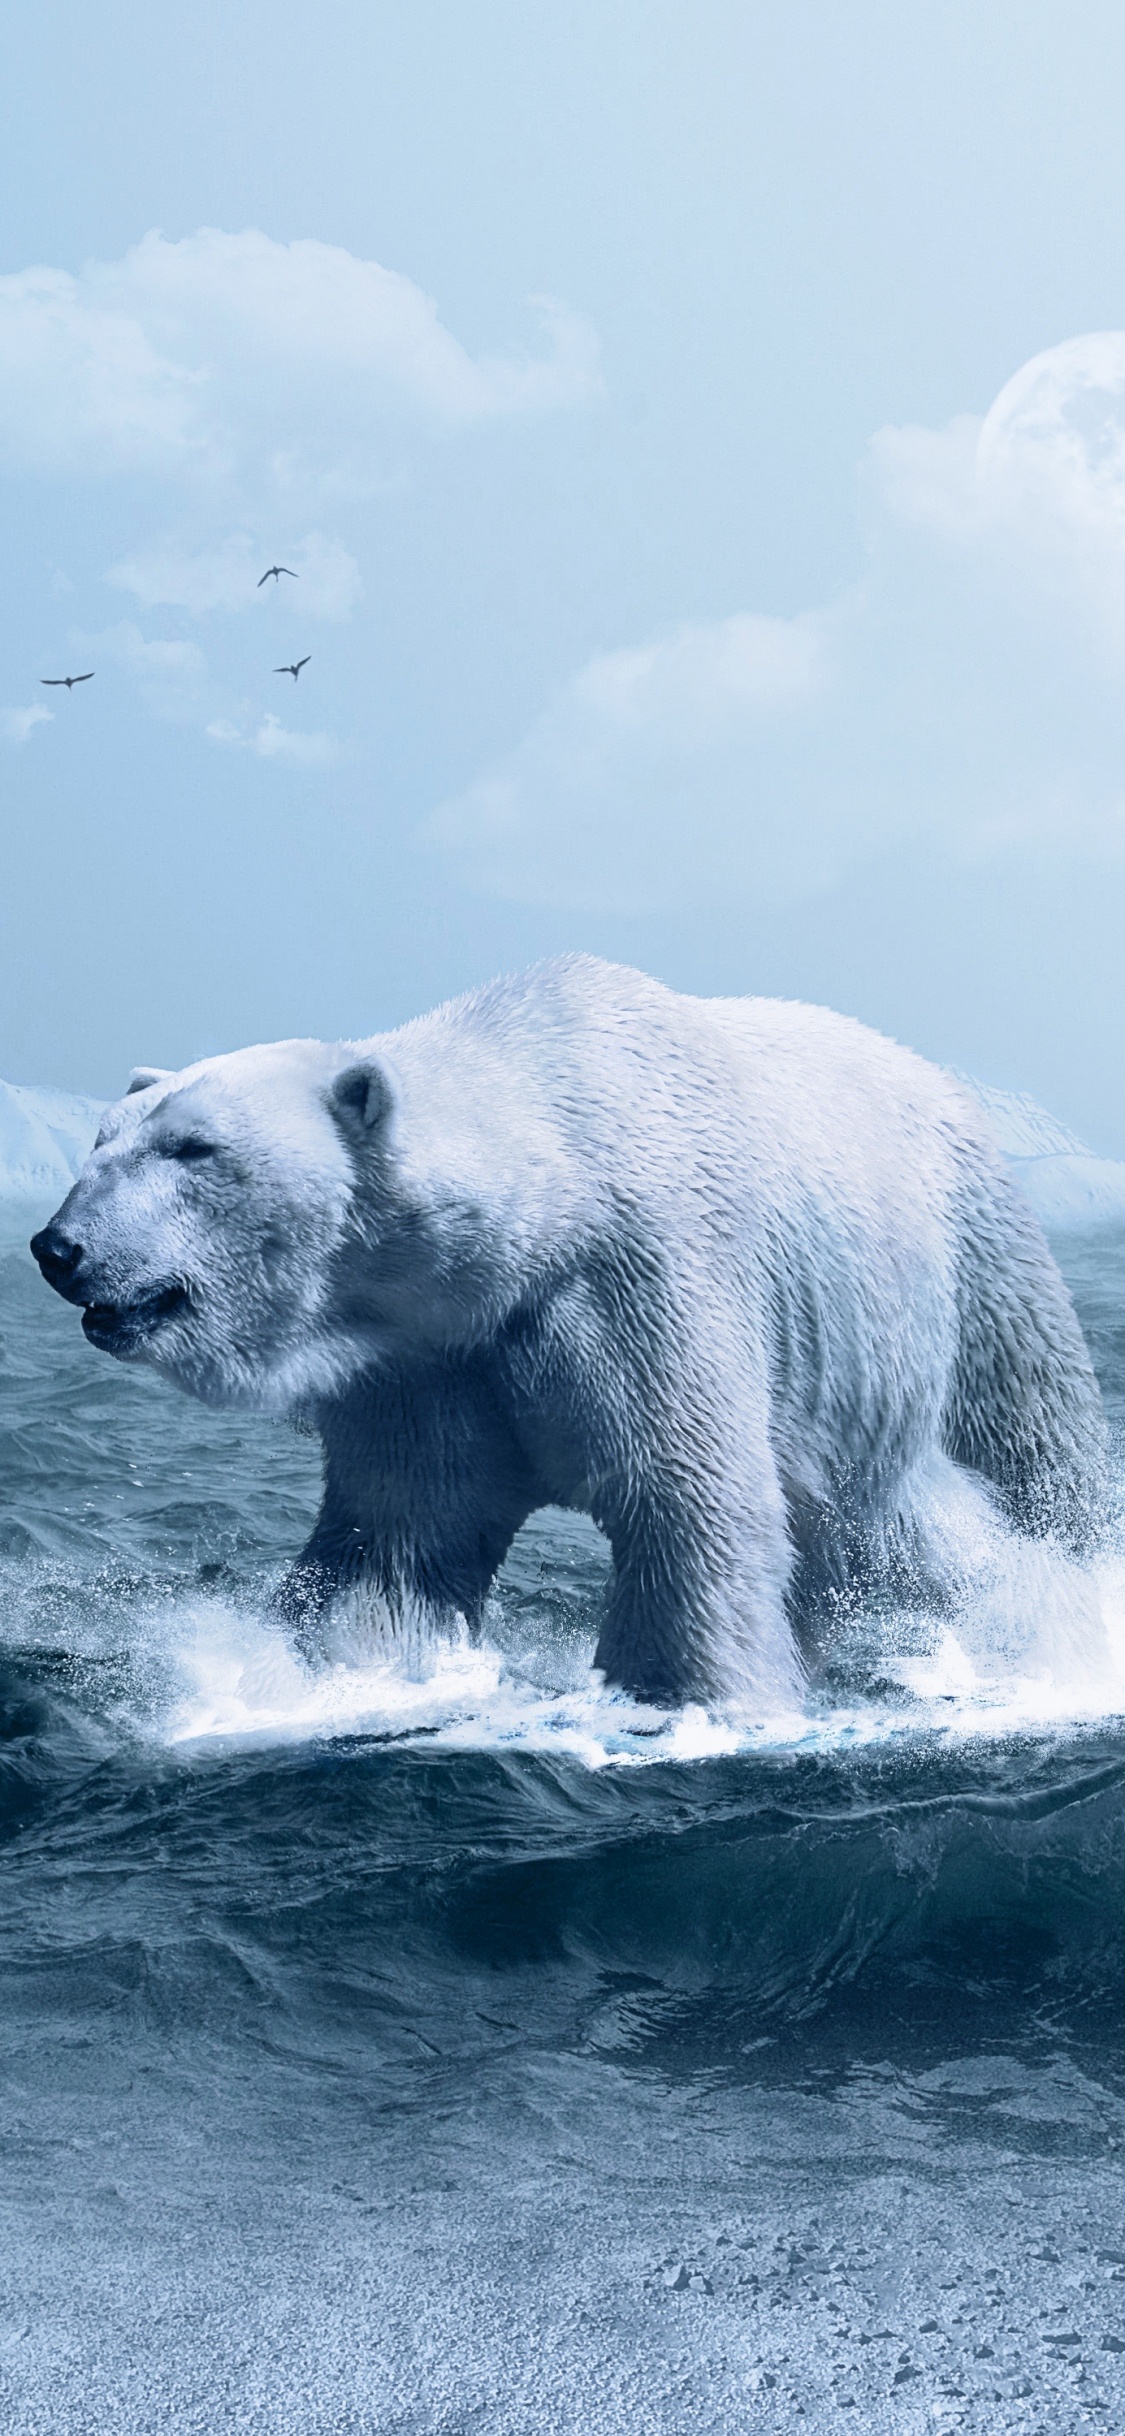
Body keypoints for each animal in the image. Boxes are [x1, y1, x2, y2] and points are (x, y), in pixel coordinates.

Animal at [31, 955, 1106, 1711]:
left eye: (194, 1148)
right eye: (103, 1141)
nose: (56, 1247)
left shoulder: (641, 1281)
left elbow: (684, 1502)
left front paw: (687, 1699)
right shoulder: (429, 1358)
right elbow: (398, 1537)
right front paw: (324, 1676)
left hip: (968, 1264)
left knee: (1011, 1462)